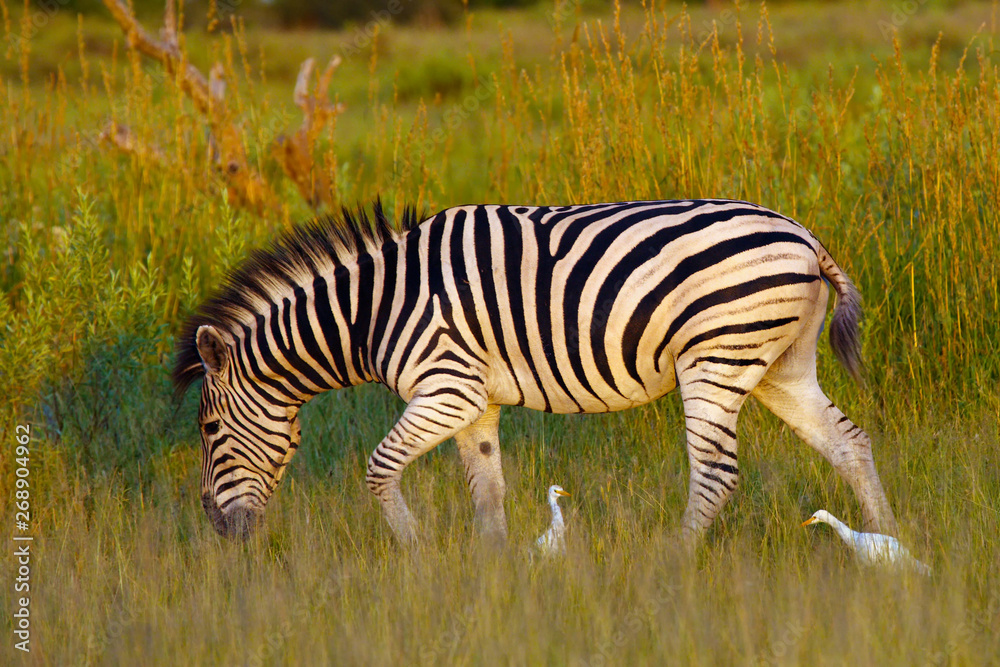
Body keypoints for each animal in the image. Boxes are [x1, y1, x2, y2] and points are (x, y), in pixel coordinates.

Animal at [172, 198, 900, 548]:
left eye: (208, 430)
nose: (215, 526)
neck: (372, 310)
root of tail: (806, 238)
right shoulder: (475, 403)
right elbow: (489, 492)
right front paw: (494, 580)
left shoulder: (444, 387)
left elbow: (378, 469)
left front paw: (416, 554)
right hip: (779, 365)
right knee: (850, 442)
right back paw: (894, 542)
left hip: (716, 360)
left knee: (718, 475)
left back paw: (670, 563)